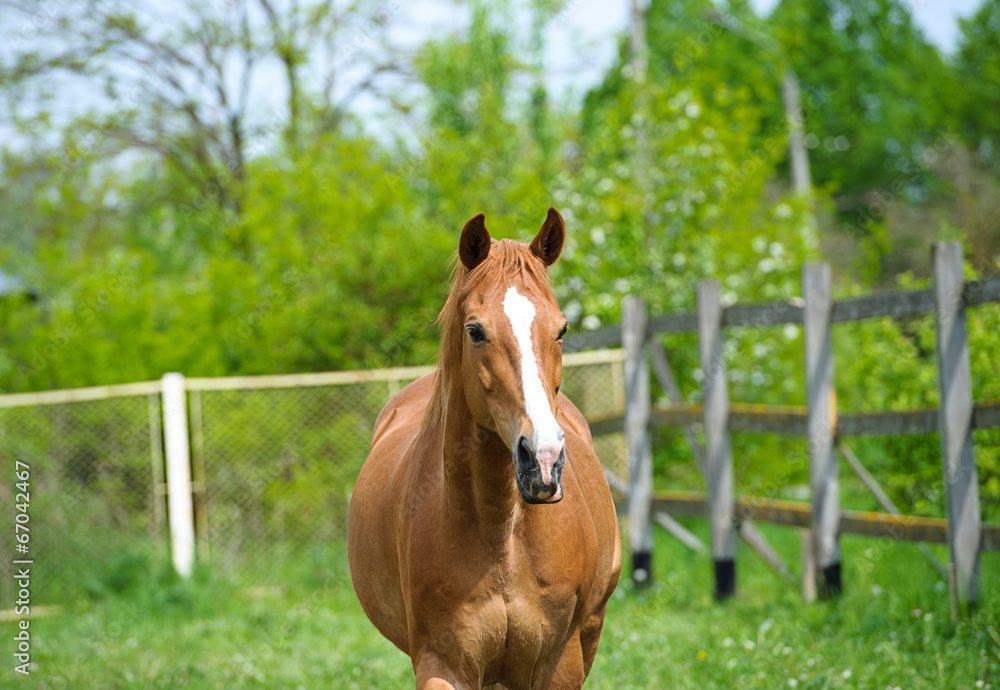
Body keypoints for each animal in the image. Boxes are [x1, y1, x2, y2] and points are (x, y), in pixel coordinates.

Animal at [348, 208, 621, 690]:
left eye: (562, 329)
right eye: (475, 331)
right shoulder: (443, 664)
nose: (543, 459)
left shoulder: (560, 666)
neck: (502, 534)